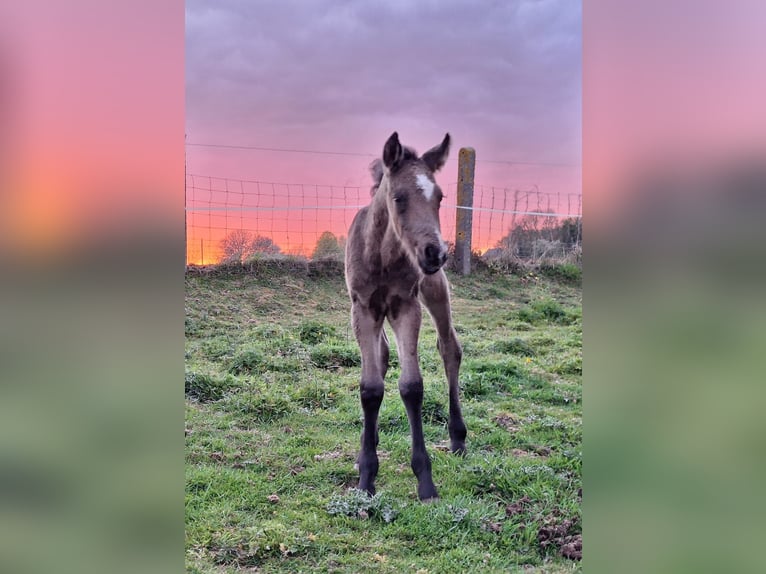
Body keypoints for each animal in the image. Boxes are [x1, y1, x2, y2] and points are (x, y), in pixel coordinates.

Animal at [344, 132, 466, 501]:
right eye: (398, 197)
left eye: (440, 198)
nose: (435, 253)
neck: (382, 256)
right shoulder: (363, 308)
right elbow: (371, 387)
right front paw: (366, 475)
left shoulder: (405, 306)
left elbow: (412, 386)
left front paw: (425, 481)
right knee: (383, 356)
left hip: (435, 289)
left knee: (449, 348)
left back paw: (458, 437)